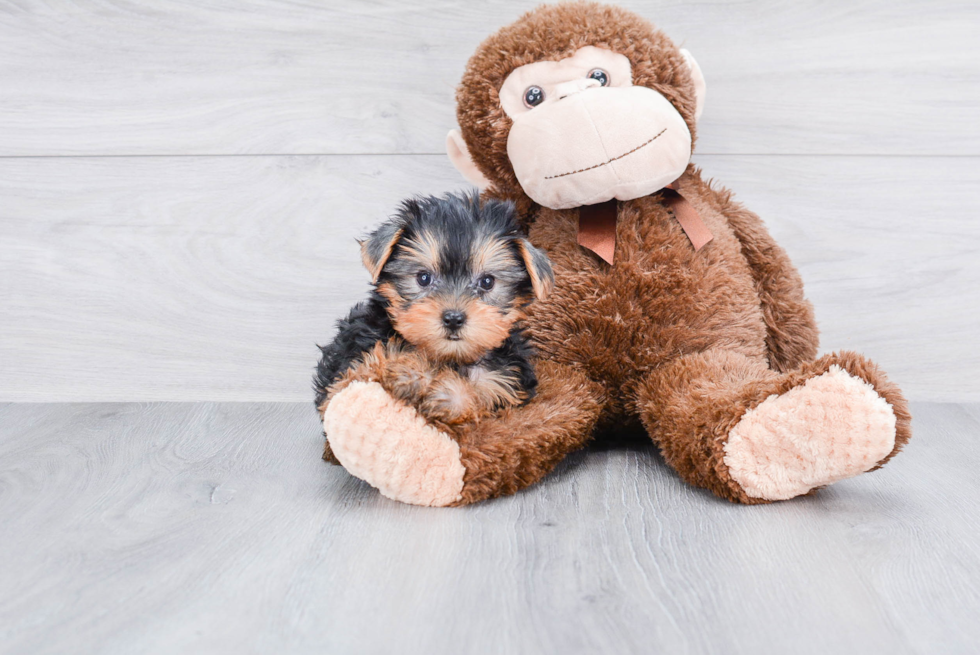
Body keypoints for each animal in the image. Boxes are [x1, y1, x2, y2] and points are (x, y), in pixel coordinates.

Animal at [314, 193, 552, 440]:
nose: (453, 318)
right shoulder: (351, 359)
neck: (450, 357)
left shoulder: (505, 387)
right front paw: (408, 372)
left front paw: (442, 390)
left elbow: (474, 400)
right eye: (423, 278)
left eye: (487, 282)